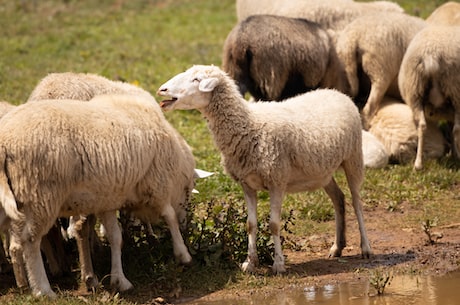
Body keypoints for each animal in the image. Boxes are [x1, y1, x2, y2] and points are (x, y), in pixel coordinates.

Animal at [0, 94, 196, 296]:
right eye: (189, 191)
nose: (188, 225)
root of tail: (5, 141)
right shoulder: (156, 182)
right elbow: (170, 216)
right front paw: (183, 254)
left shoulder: (108, 199)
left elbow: (115, 237)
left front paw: (119, 280)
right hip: (40, 196)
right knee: (30, 241)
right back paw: (43, 290)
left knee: (16, 242)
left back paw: (23, 283)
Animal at [156, 64, 372, 274]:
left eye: (196, 79)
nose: (162, 90)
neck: (249, 124)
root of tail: (337, 93)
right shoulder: (247, 183)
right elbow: (250, 224)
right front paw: (250, 263)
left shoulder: (277, 180)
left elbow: (274, 224)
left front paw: (278, 264)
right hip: (323, 172)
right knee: (339, 199)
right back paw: (337, 247)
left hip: (353, 158)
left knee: (356, 203)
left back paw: (366, 248)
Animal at [398, 24, 460, 169]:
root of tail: (431, 54)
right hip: (455, 91)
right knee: (456, 129)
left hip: (415, 92)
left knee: (422, 126)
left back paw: (418, 164)